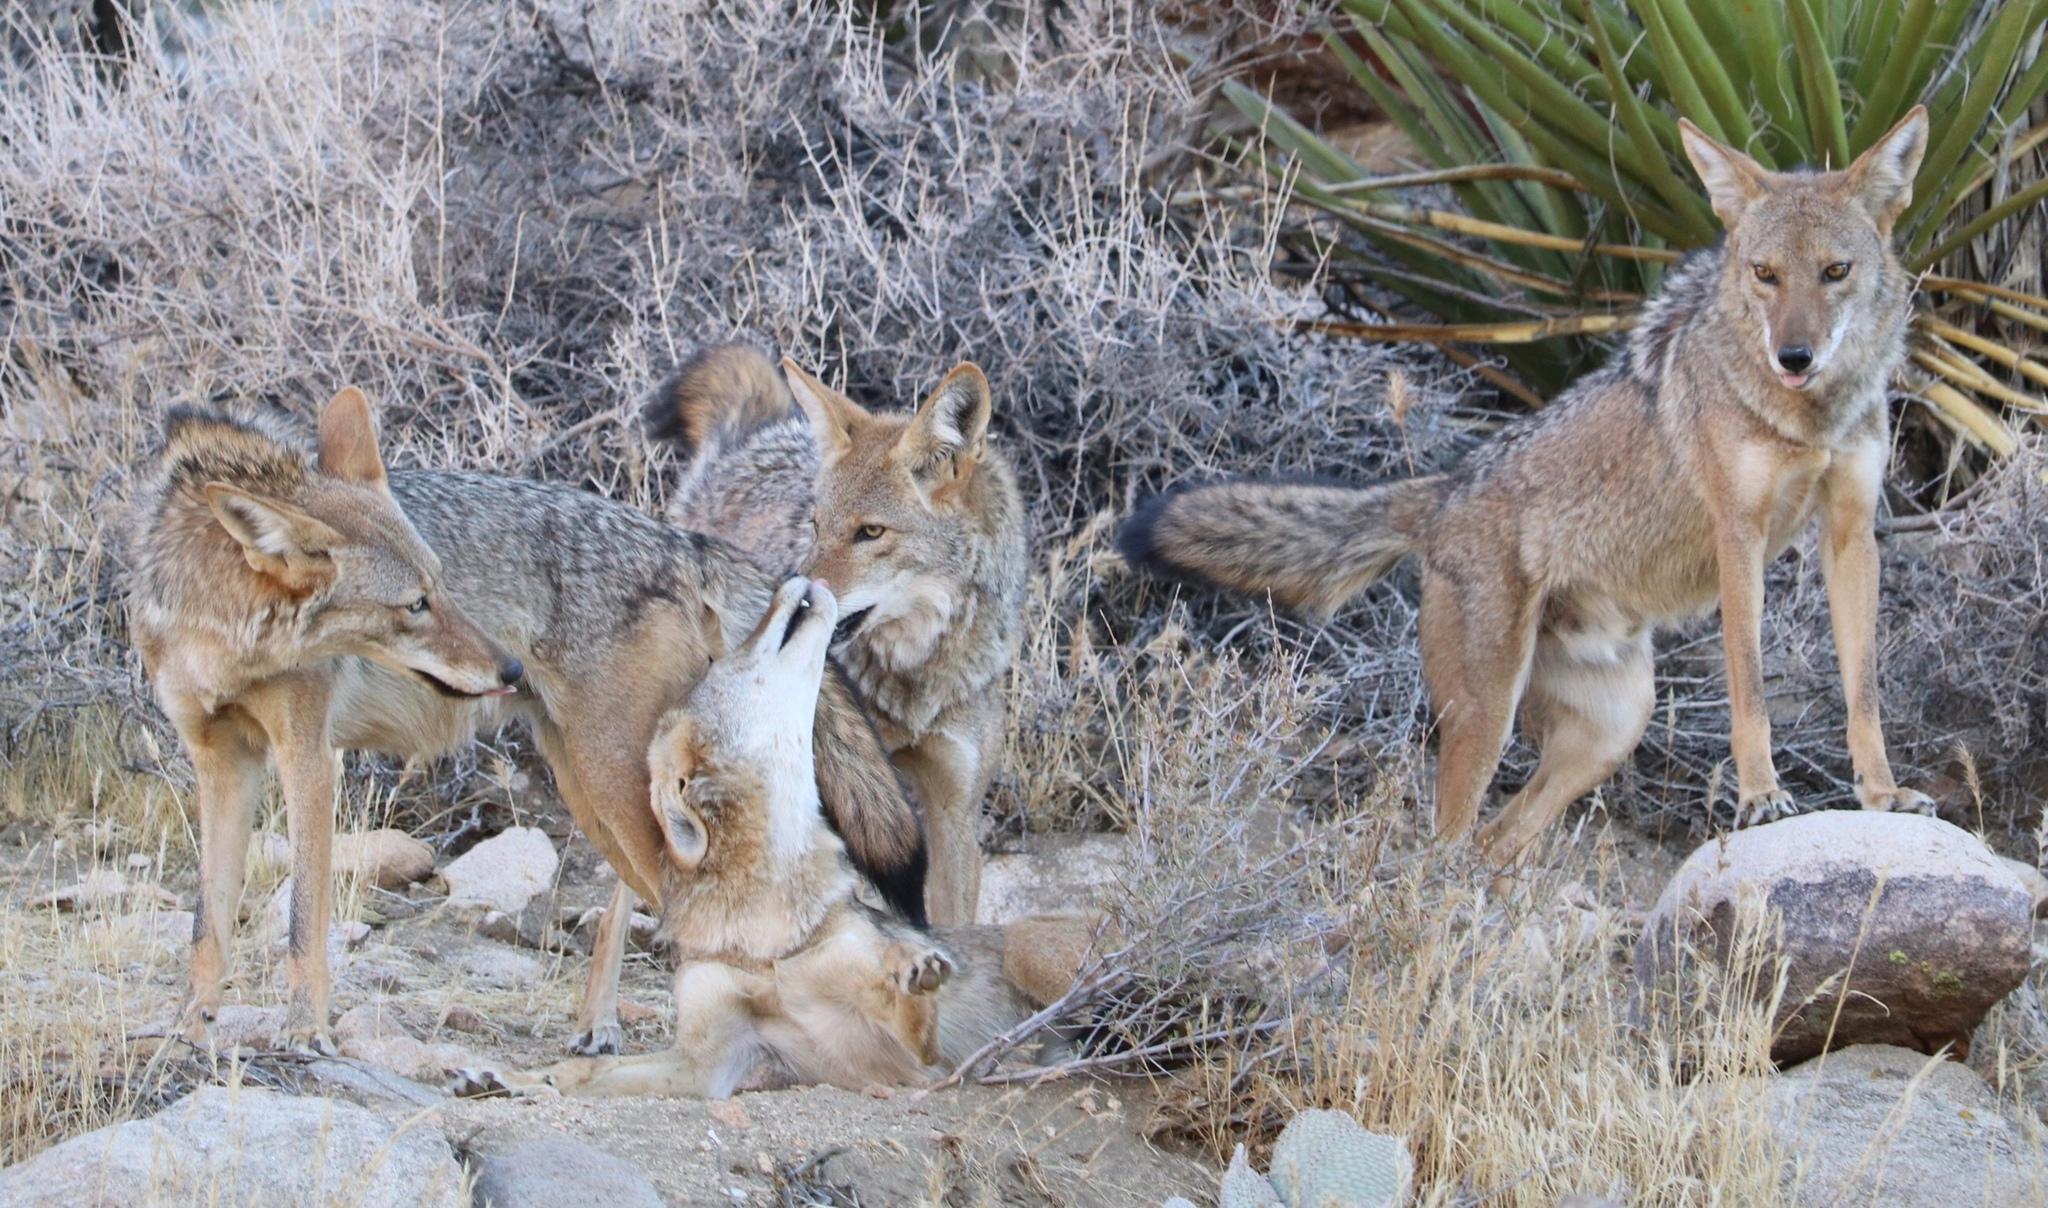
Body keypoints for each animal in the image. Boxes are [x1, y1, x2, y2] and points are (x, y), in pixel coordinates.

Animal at [127, 390, 926, 1055]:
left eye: (440, 587)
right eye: (415, 604)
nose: (508, 667)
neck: (217, 628)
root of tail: (679, 540)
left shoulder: (309, 757)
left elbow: (301, 923)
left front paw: (305, 1035)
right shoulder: (219, 762)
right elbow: (207, 922)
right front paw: (185, 1031)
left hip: (610, 778)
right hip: (587, 784)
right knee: (645, 894)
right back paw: (598, 1026)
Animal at [447, 577, 1099, 1099]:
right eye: (718, 664)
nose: (795, 578)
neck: (767, 931)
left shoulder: (914, 1053)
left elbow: (911, 1012)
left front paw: (918, 969)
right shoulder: (708, 1065)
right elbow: (582, 1073)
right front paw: (506, 1078)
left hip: (1032, 950)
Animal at [642, 346, 1030, 926]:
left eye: (870, 532)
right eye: (816, 525)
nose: (784, 594)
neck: (915, 677)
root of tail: (745, 445)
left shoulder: (954, 815)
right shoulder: (859, 802)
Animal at [1119, 108, 1935, 869]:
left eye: (1835, 272)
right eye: (1765, 274)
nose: (1794, 356)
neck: (1810, 418)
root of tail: (1447, 488)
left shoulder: (1852, 535)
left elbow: (1864, 692)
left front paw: (1883, 793)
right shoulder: (1739, 535)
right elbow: (1752, 689)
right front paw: (1762, 795)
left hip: (1612, 731)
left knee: (1495, 846)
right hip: (1486, 720)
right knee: (1445, 848)